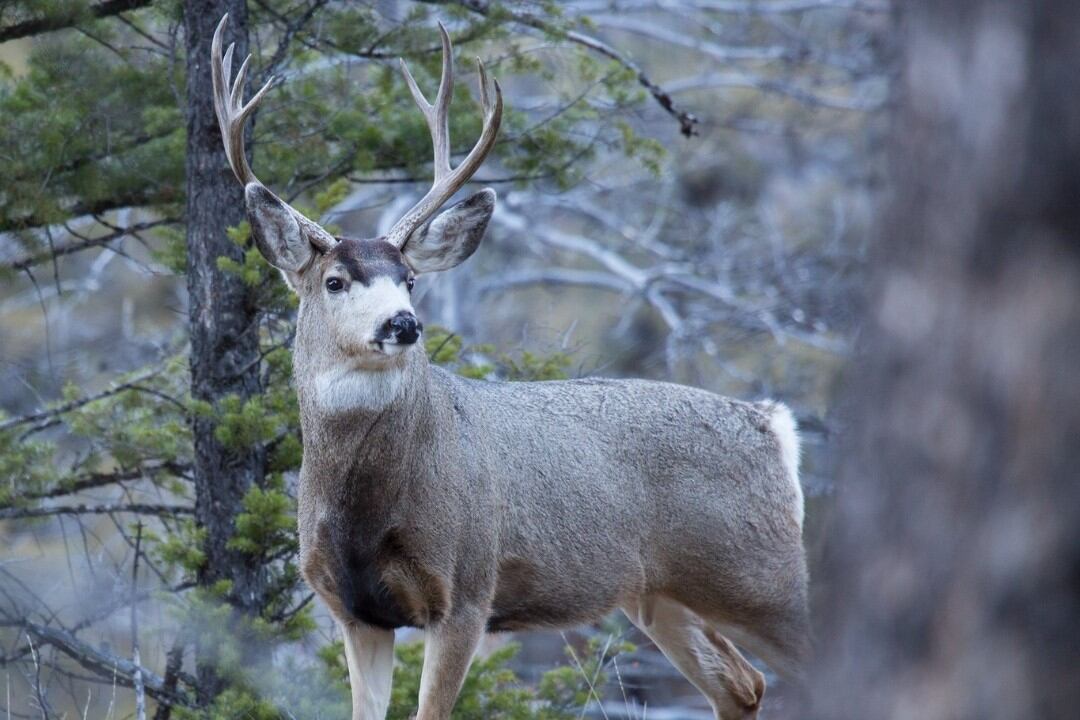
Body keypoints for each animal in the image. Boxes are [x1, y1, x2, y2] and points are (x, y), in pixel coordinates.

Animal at [210, 15, 808, 720]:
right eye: (334, 281)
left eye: (409, 278)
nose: (403, 323)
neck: (368, 506)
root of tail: (774, 427)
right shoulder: (354, 610)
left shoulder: (468, 588)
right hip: (660, 594)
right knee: (742, 683)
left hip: (761, 575)